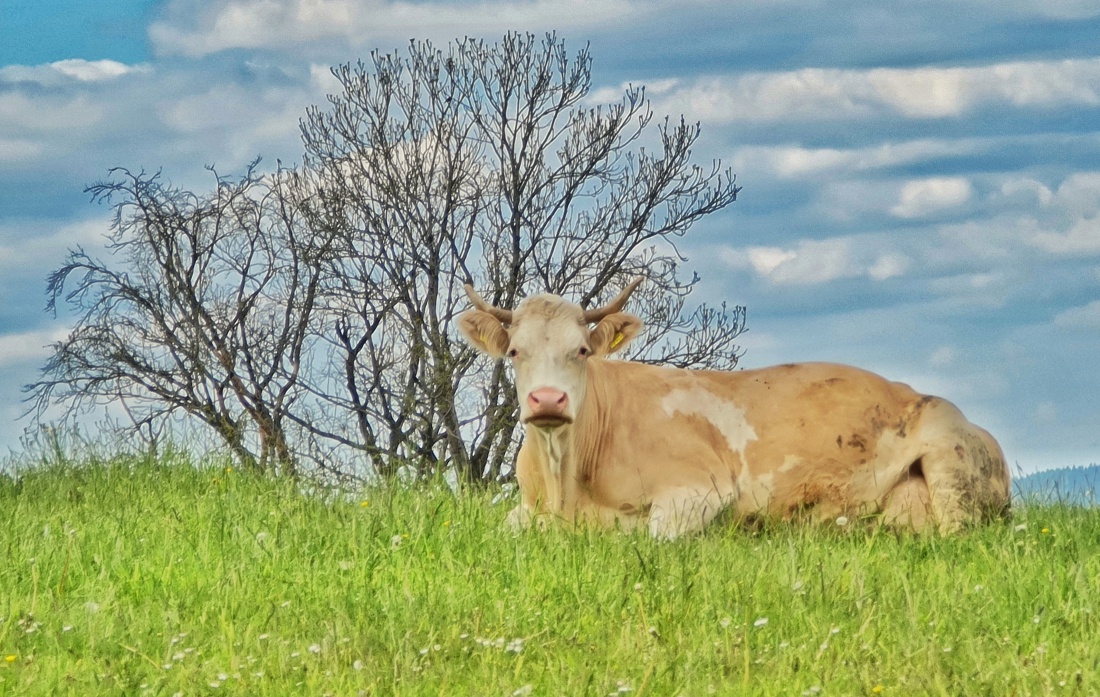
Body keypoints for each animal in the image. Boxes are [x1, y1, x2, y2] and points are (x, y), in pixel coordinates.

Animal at [457, 277, 1012, 536]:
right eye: (515, 351)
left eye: (582, 351)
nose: (548, 399)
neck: (565, 487)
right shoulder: (522, 513)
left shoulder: (700, 490)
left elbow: (649, 536)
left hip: (949, 459)